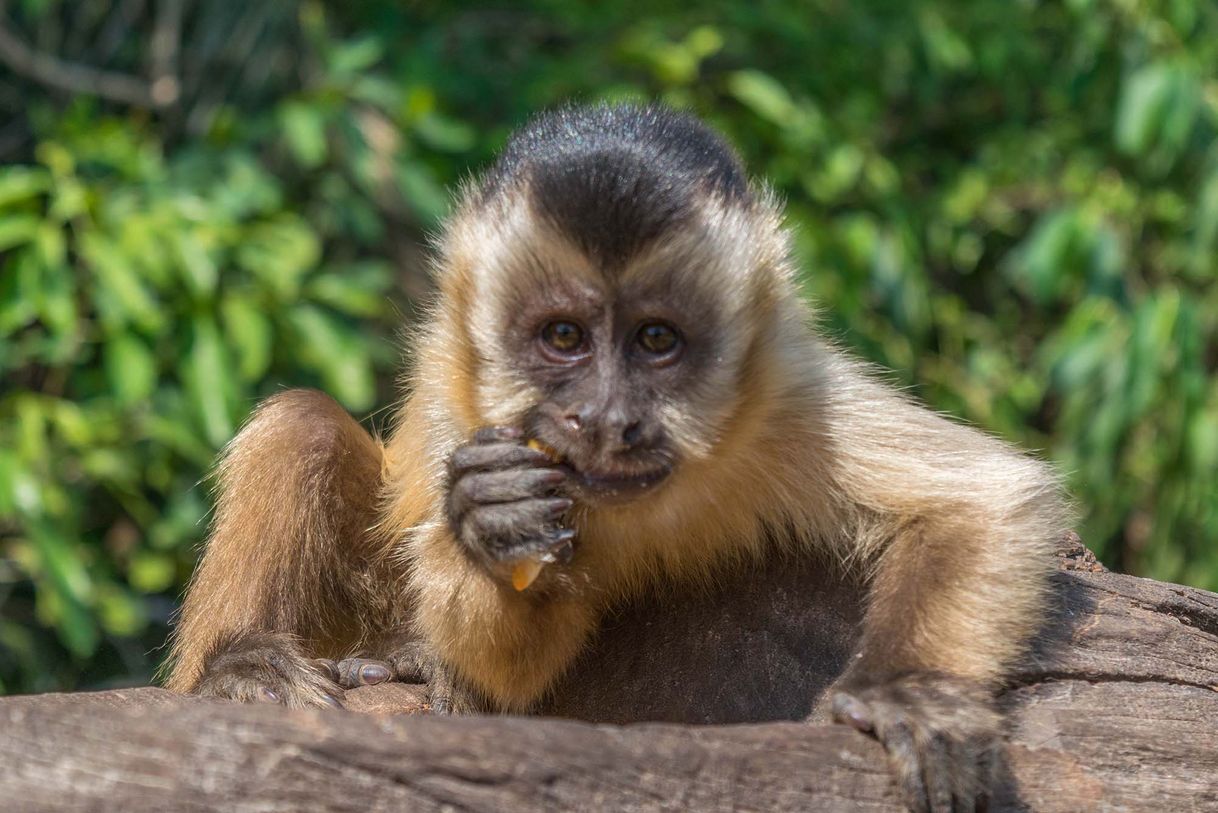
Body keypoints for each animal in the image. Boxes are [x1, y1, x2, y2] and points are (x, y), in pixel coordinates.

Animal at [166, 104, 1071, 809]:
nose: (605, 418)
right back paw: (241, 669)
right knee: (304, 425)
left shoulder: (786, 393)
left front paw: (907, 694)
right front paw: (494, 520)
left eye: (656, 340)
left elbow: (985, 498)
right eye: (564, 337)